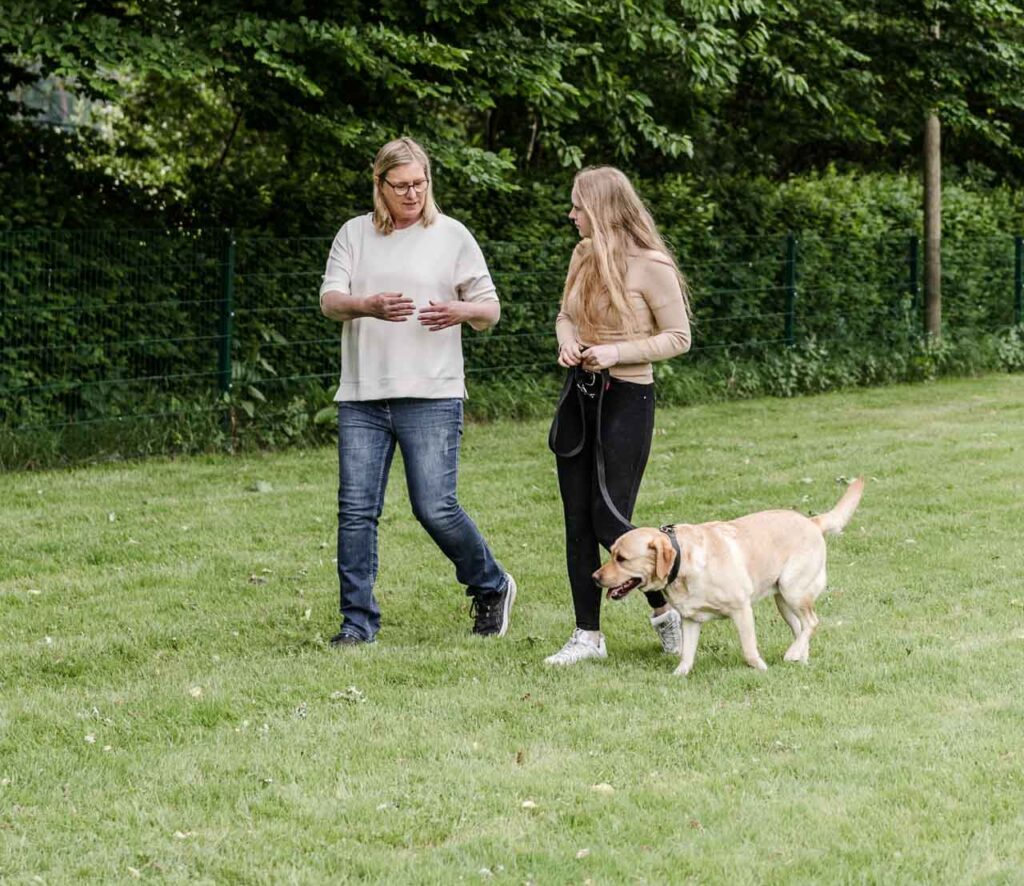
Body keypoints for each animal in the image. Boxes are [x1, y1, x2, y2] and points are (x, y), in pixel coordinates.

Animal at [593, 481, 864, 676]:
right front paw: (679, 674)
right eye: (612, 553)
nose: (594, 577)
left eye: (622, 559)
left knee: (812, 622)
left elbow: (749, 650)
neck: (685, 563)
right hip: (783, 600)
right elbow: (687, 654)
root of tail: (812, 521)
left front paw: (761, 669)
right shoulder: (690, 619)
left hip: (793, 589)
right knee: (801, 627)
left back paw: (792, 654)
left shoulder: (741, 609)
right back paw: (799, 656)